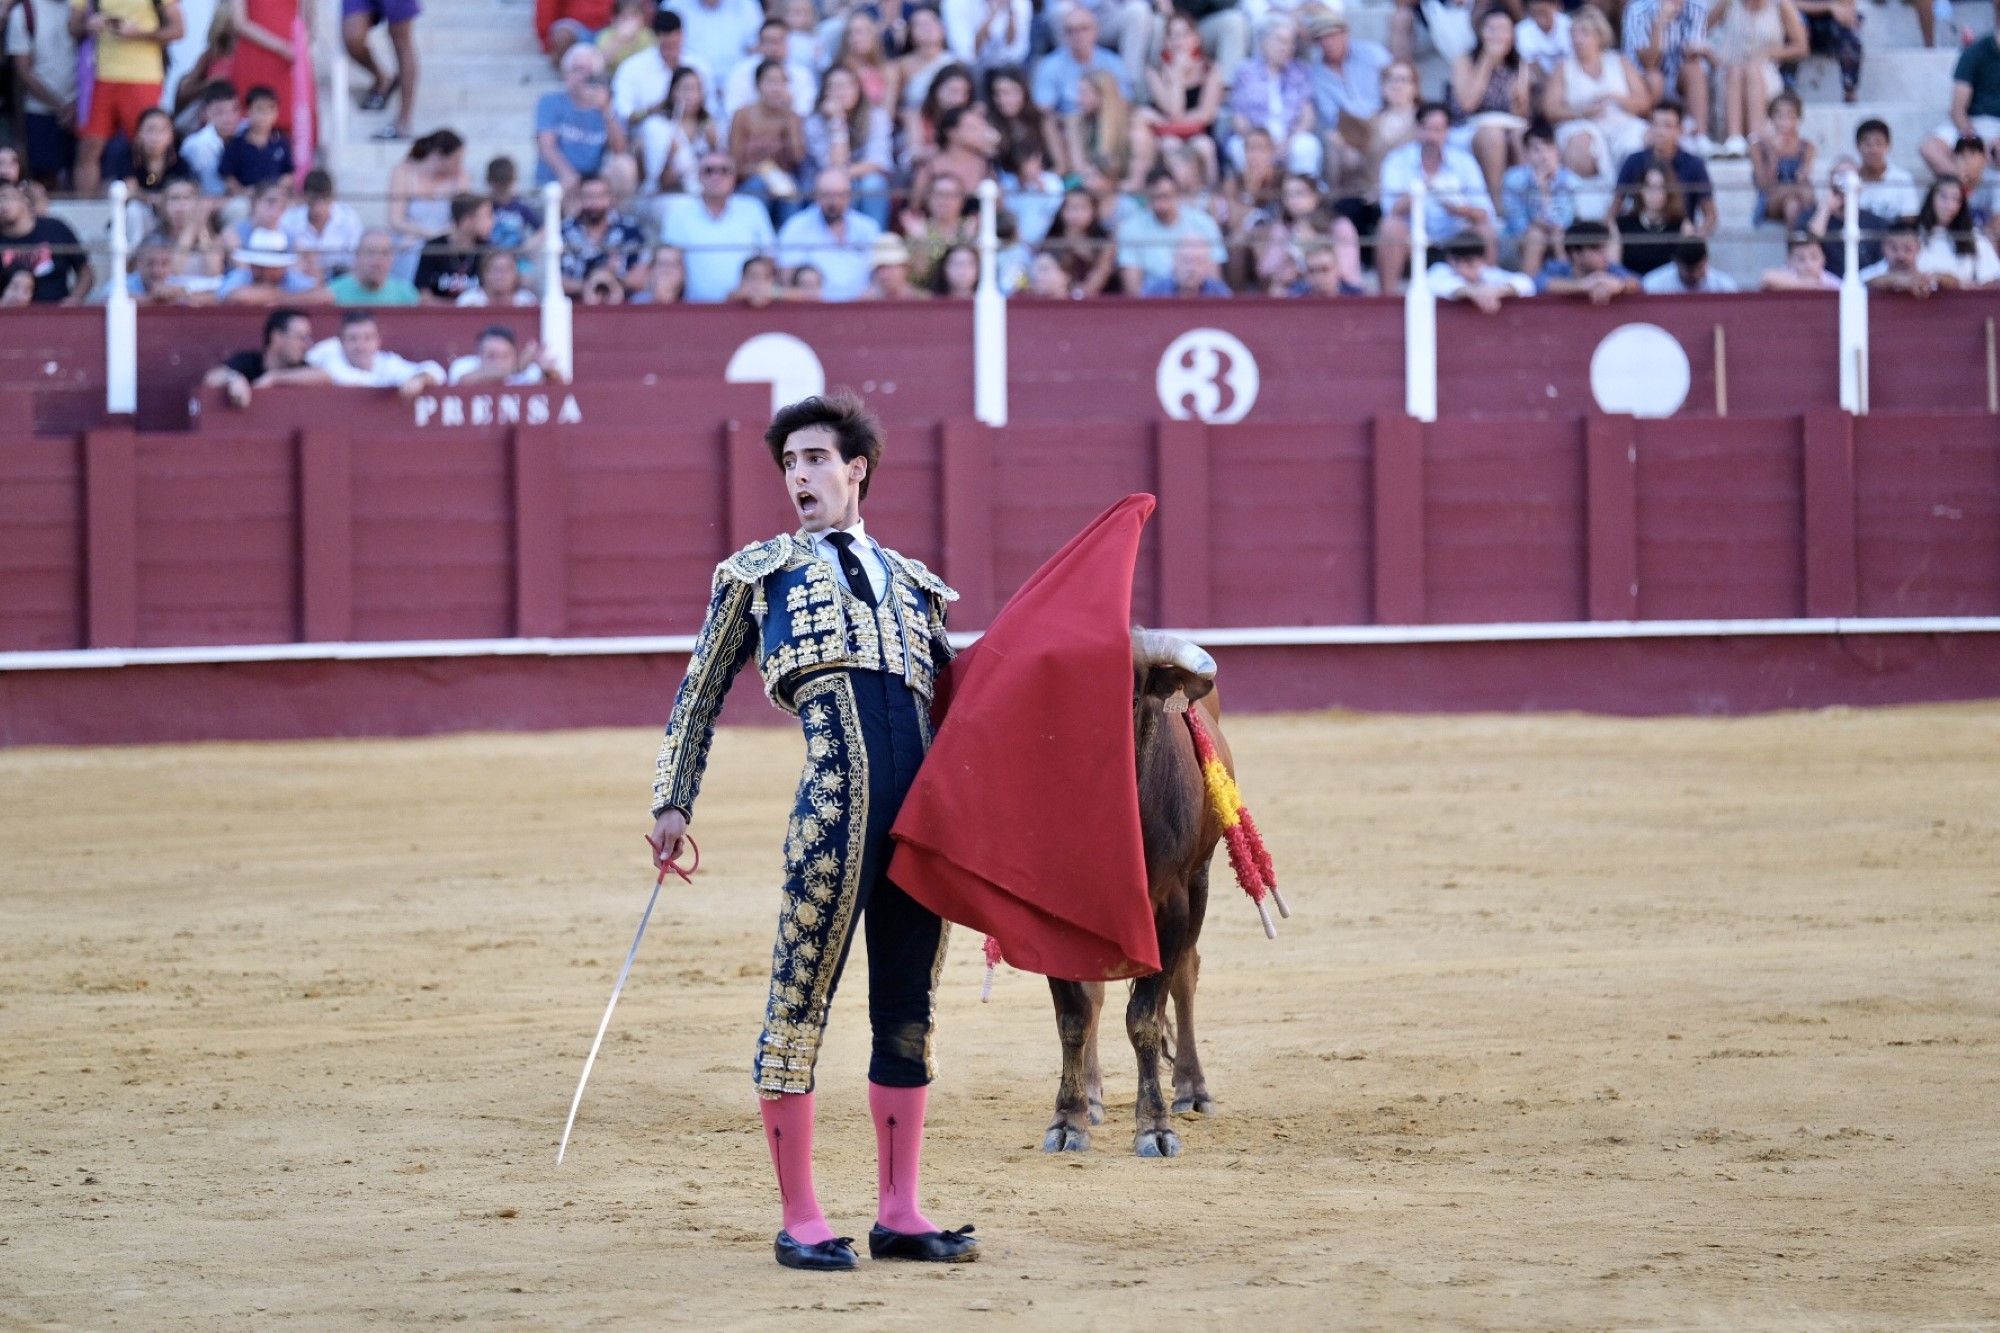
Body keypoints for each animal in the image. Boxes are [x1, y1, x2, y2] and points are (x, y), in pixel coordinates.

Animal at [1048, 624, 1232, 1152]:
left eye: (1127, 697)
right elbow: (1073, 1015)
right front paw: (1068, 1120)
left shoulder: (1170, 906)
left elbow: (1146, 1017)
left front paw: (1155, 1126)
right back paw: (1091, 1097)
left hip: (1200, 879)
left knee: (1186, 975)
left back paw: (1193, 1091)